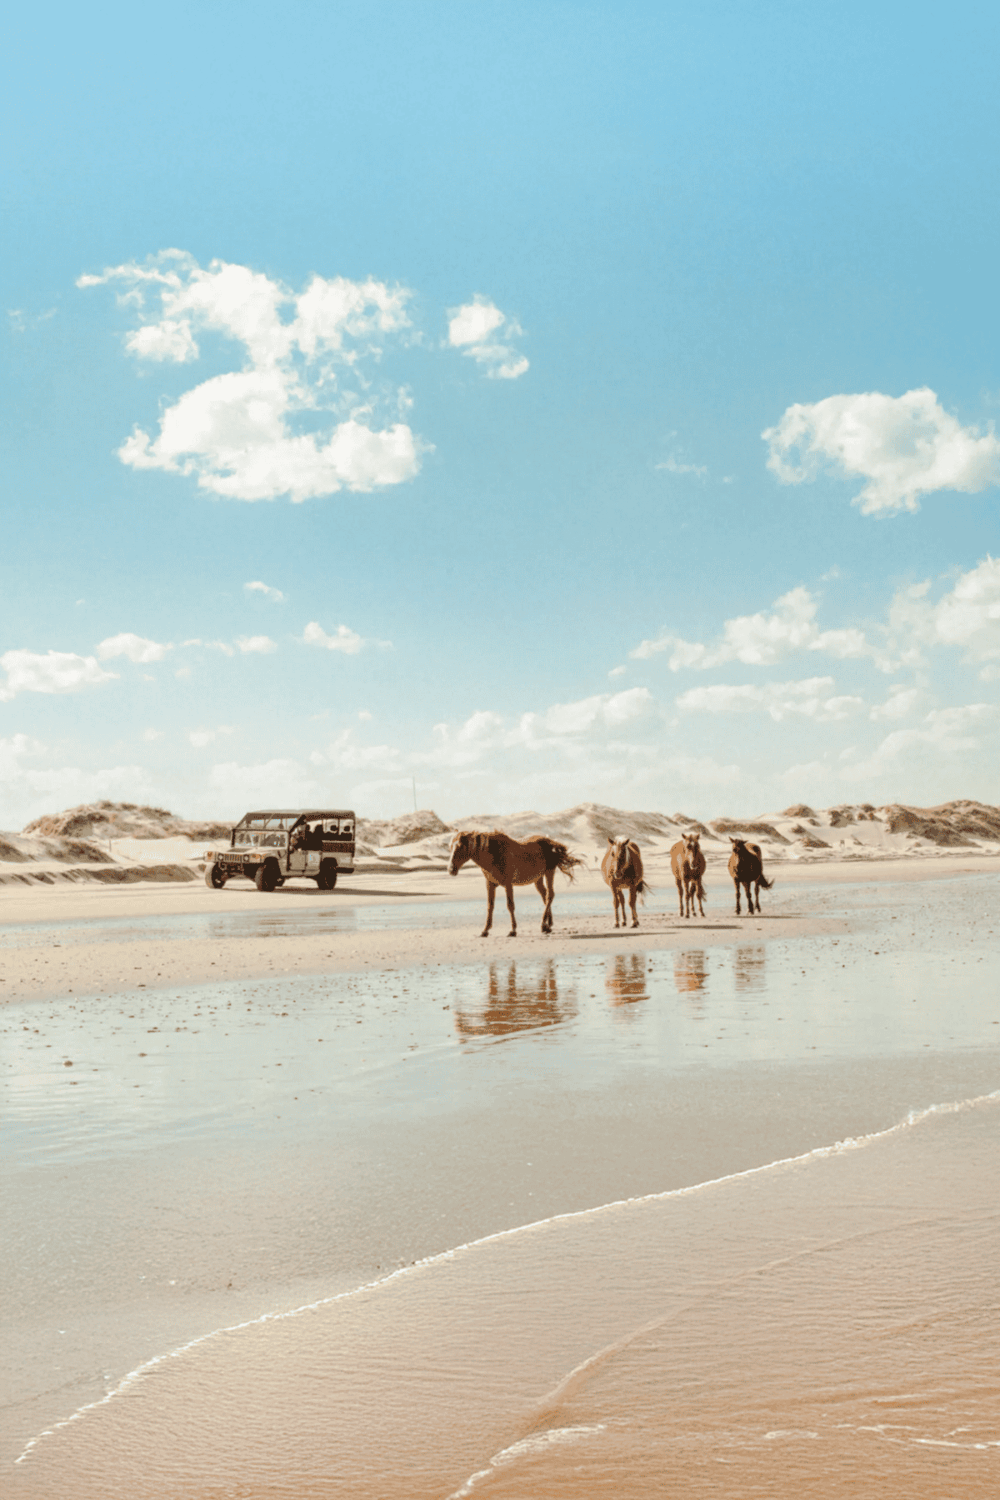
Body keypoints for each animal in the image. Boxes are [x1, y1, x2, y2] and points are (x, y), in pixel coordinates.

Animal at [448, 829, 583, 937]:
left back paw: (542, 925)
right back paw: (548, 925)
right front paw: (485, 930)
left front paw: (513, 930)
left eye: (460, 846)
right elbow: (490, 906)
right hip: (538, 879)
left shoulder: (508, 884)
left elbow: (510, 905)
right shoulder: (490, 884)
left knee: (550, 895)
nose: (450, 869)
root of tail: (551, 842)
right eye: (450, 847)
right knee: (545, 896)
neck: (494, 853)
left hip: (549, 872)